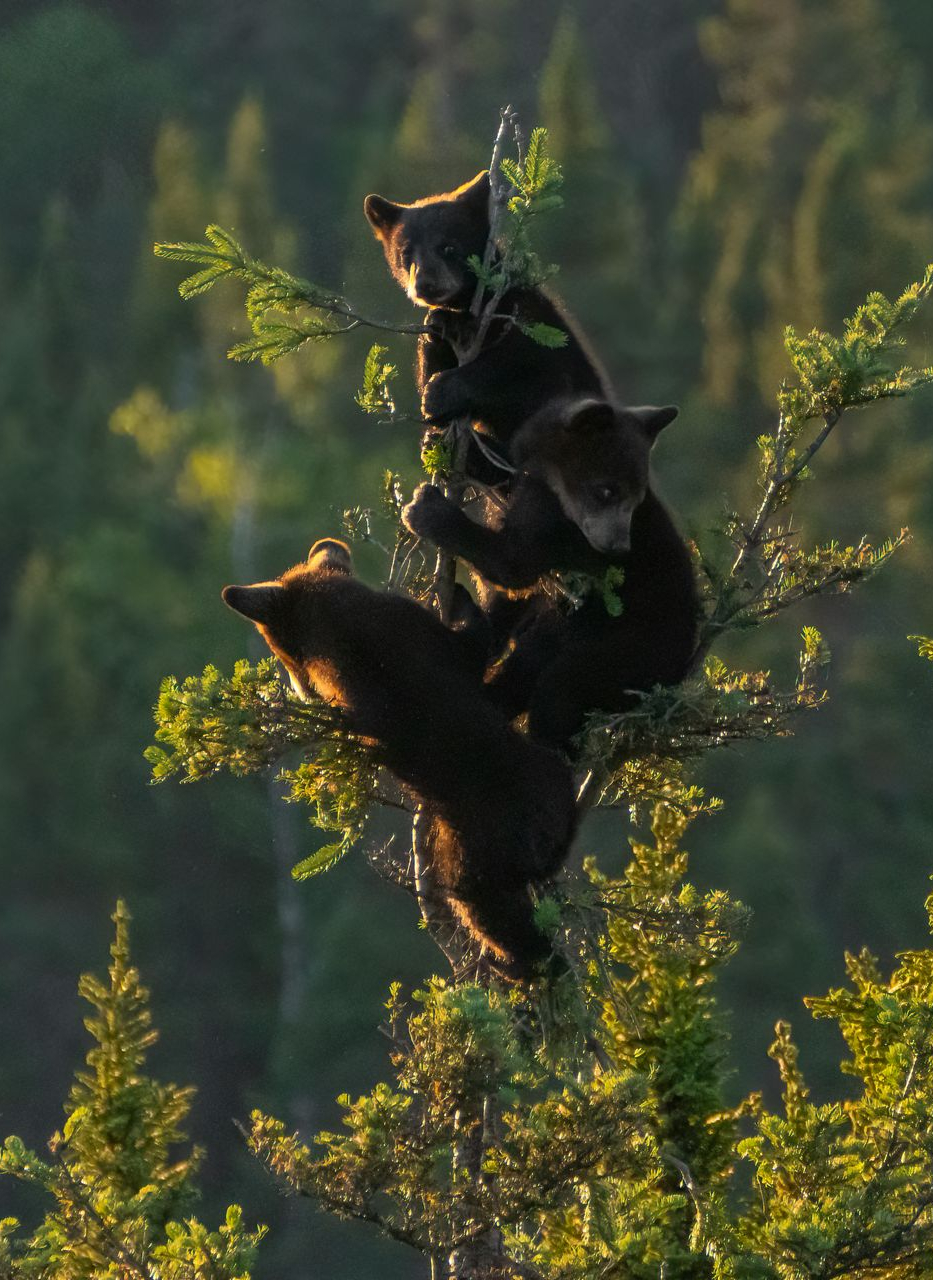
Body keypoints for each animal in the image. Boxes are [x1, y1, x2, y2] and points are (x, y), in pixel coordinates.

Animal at [222, 538, 578, 980]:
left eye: (283, 656)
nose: (301, 691)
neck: (338, 615)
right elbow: (481, 649)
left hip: (484, 849)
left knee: (487, 907)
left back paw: (522, 963)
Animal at [363, 170, 611, 469]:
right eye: (406, 253)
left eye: (449, 247)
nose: (425, 284)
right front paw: (441, 325)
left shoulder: (529, 322)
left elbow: (523, 372)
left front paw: (439, 394)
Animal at [402, 398, 700, 751]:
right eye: (607, 491)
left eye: (635, 497)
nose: (618, 547)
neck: (553, 483)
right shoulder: (532, 487)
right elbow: (506, 478)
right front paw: (446, 444)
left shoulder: (557, 530)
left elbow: (512, 564)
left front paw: (426, 509)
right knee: (527, 664)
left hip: (634, 650)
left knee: (560, 690)